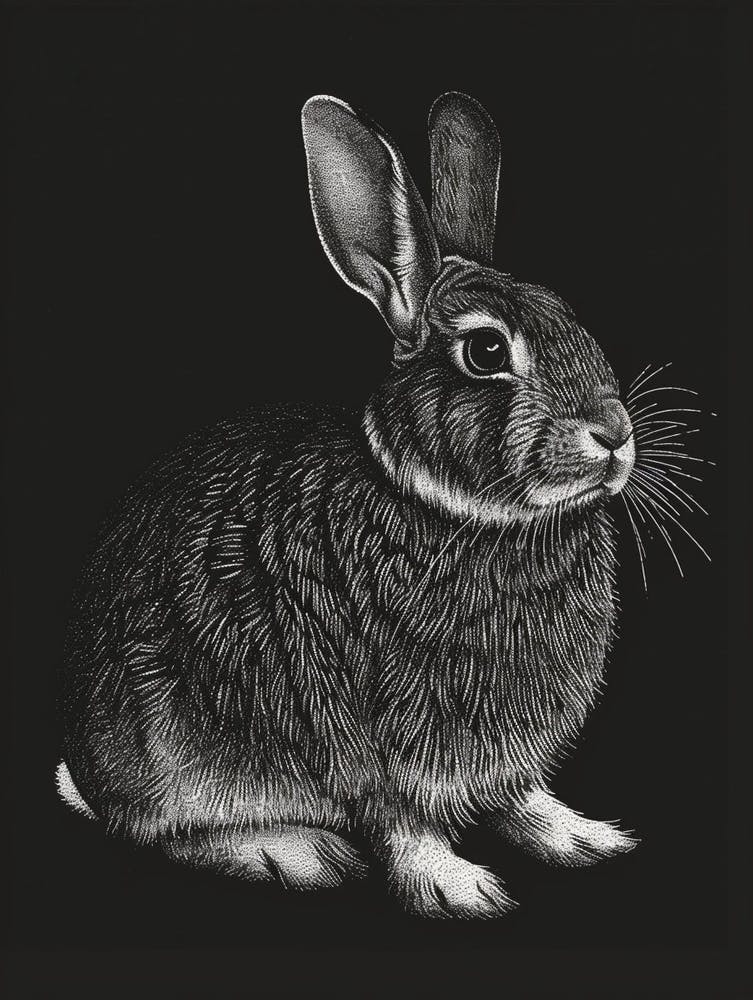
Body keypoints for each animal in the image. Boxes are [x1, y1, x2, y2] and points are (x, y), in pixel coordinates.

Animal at [57, 91, 639, 919]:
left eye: (567, 313)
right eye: (486, 352)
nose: (614, 435)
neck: (462, 512)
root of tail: (83, 768)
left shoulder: (495, 756)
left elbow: (517, 796)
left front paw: (583, 838)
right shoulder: (368, 735)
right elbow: (398, 817)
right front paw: (458, 888)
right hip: (169, 747)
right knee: (152, 830)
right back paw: (289, 851)